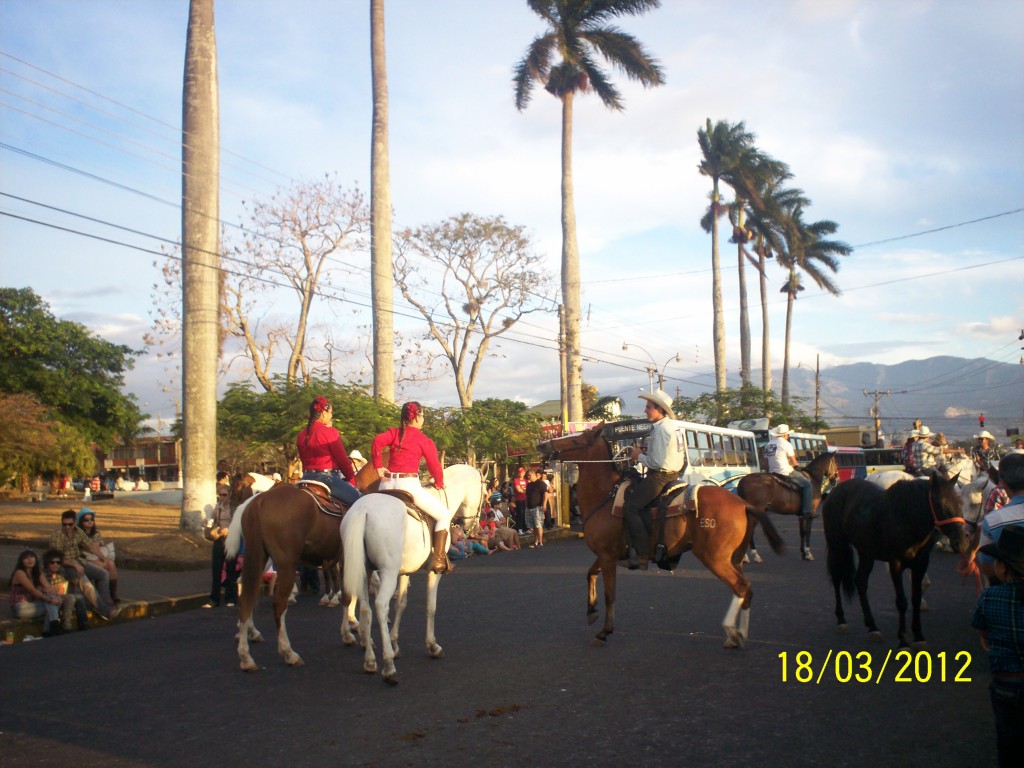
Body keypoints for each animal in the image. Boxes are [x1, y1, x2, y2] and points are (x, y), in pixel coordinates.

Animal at [228, 460, 380, 671]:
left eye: (237, 488)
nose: (230, 508)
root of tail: (259, 502)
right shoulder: (349, 560)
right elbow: (349, 595)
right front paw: (354, 632)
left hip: (258, 557)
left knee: (246, 592)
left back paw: (246, 651)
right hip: (286, 563)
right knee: (278, 602)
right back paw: (288, 652)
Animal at [339, 495, 444, 688]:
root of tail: (363, 509)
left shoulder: (403, 572)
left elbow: (401, 603)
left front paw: (395, 643)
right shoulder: (433, 572)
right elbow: (431, 607)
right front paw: (432, 646)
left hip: (364, 571)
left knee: (365, 609)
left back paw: (370, 661)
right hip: (388, 571)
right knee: (380, 605)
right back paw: (389, 668)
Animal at [536, 423, 782, 651]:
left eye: (575, 440)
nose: (542, 446)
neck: (604, 494)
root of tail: (743, 504)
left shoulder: (607, 556)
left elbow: (610, 594)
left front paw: (604, 631)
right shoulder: (607, 555)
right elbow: (589, 574)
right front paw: (591, 611)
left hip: (714, 557)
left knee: (740, 587)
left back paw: (732, 631)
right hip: (734, 558)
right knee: (745, 590)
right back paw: (739, 634)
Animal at [823, 475, 966, 651]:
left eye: (960, 503)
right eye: (941, 505)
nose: (961, 543)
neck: (906, 519)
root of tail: (835, 490)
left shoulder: (920, 564)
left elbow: (916, 598)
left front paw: (918, 636)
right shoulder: (896, 564)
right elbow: (902, 602)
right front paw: (903, 640)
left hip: (866, 553)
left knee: (861, 582)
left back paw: (872, 627)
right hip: (837, 546)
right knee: (836, 578)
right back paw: (841, 620)